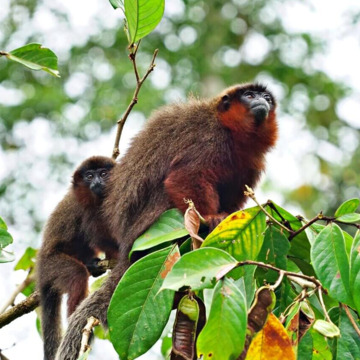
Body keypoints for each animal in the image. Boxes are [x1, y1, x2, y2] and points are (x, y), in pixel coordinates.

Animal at [55, 82, 278, 360]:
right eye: (249, 95)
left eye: (266, 96)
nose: (262, 100)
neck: (232, 133)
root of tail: (127, 248)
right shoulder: (209, 139)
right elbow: (185, 176)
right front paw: (211, 218)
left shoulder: (251, 163)